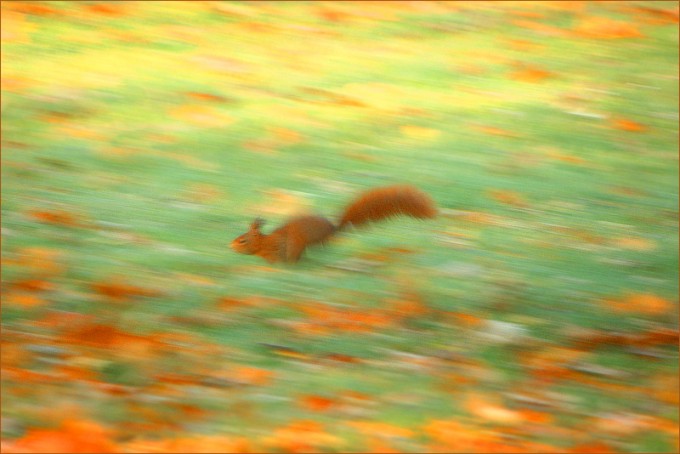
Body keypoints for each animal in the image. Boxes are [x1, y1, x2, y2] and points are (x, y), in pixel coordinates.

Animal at [231, 185, 437, 263]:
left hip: (299, 240)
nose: (230, 246)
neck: (264, 243)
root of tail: (332, 229)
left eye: (242, 240)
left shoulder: (279, 248)